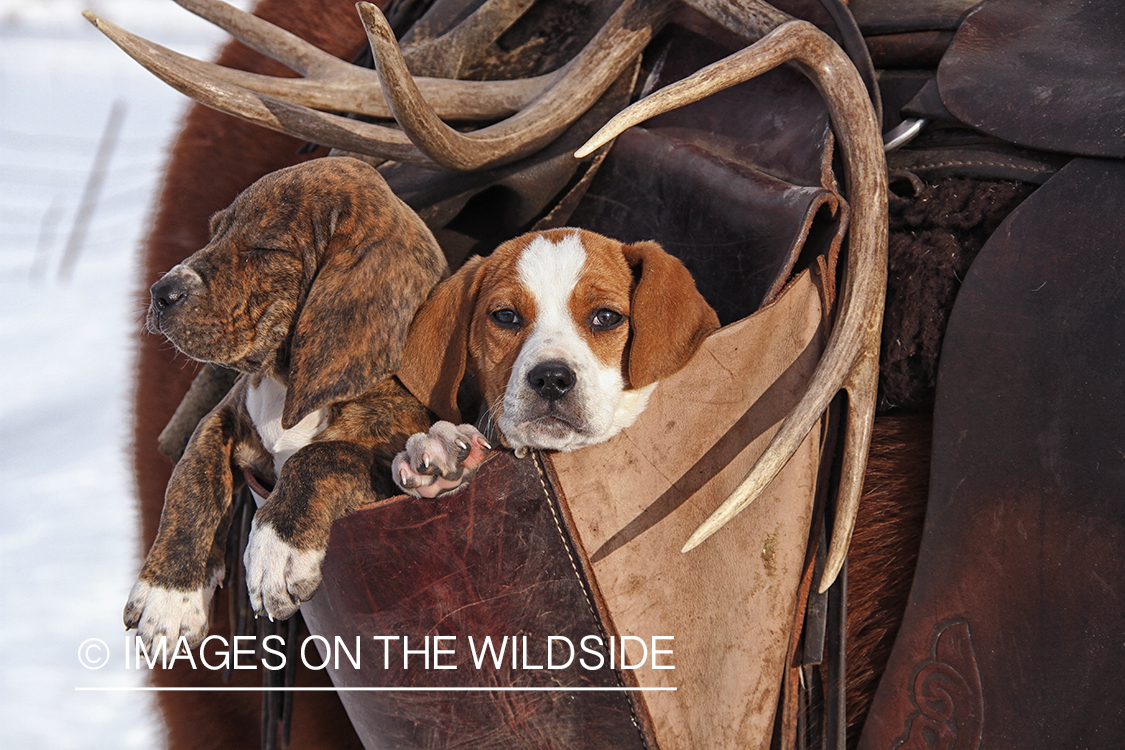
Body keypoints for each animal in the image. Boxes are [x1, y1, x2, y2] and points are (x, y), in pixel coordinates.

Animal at [128, 157, 447, 647]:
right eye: (214, 231)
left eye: (263, 248)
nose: (160, 292)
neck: (286, 382)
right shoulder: (224, 414)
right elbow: (190, 477)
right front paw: (168, 593)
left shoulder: (397, 458)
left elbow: (321, 455)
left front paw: (275, 550)